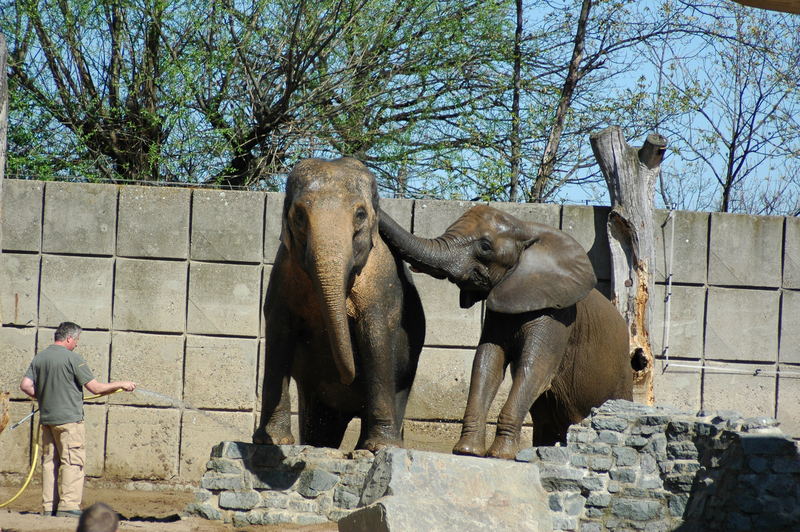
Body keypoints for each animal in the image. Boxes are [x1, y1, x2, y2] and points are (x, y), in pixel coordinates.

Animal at [256, 158, 428, 454]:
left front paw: (379, 448)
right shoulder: (283, 274)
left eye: (359, 215)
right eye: (299, 216)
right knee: (321, 421)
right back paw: (318, 445)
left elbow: (375, 338)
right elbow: (279, 334)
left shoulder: (380, 284)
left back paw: (370, 446)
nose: (348, 377)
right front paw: (271, 441)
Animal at [378, 206, 636, 460]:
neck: (526, 227)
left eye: (485, 246)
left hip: (622, 379)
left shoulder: (558, 315)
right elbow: (486, 363)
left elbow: (534, 370)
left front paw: (500, 455)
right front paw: (467, 451)